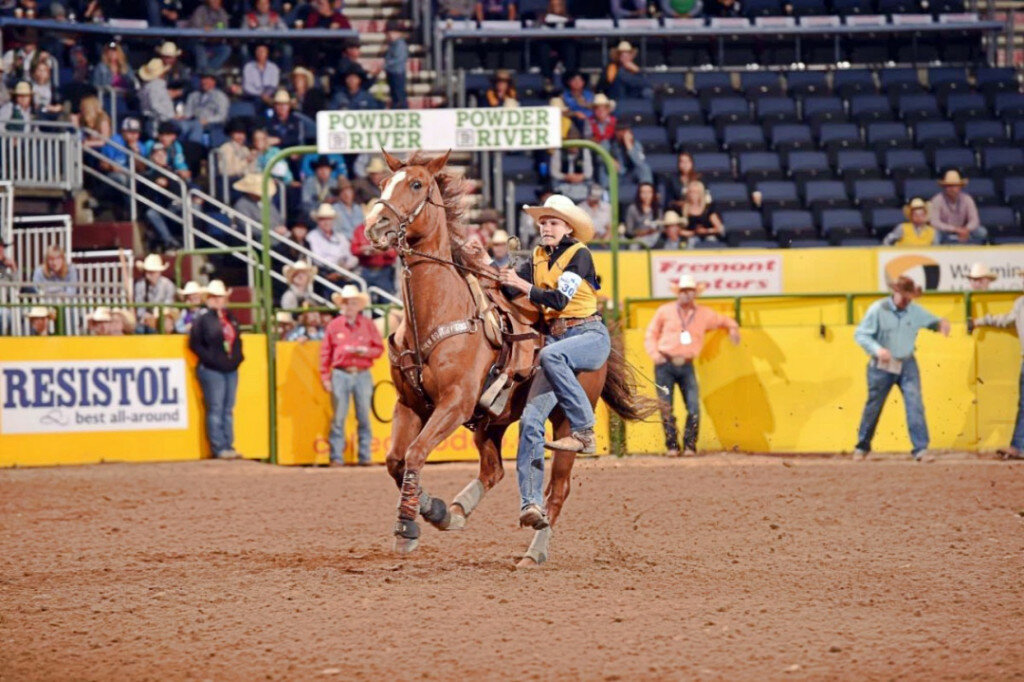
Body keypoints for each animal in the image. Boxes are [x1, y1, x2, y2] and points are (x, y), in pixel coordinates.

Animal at [366, 151, 655, 565]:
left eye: (417, 184)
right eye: (382, 184)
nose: (376, 225)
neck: (439, 312)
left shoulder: (454, 403)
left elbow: (416, 453)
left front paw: (407, 526)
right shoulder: (409, 404)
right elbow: (397, 460)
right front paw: (431, 508)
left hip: (561, 419)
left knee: (557, 489)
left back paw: (534, 547)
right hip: (493, 420)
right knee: (493, 471)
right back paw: (455, 512)